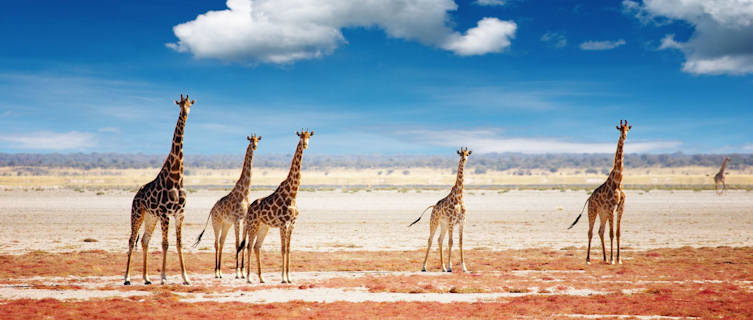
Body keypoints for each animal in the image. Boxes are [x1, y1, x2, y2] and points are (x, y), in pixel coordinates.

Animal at [123, 93, 194, 284]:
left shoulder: (179, 214)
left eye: (190, 105)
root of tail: (136, 196)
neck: (176, 178)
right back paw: (127, 278)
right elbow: (165, 244)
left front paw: (186, 278)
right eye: (179, 104)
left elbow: (179, 243)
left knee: (144, 240)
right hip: (138, 213)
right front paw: (163, 278)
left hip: (150, 217)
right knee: (132, 240)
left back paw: (147, 278)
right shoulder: (164, 214)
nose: (185, 114)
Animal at [194, 134, 262, 278]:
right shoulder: (237, 219)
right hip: (217, 222)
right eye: (250, 141)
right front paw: (237, 272)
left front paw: (242, 271)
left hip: (226, 224)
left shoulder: (245, 220)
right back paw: (216, 272)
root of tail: (212, 209)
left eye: (257, 140)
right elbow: (237, 243)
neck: (244, 193)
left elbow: (243, 243)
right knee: (216, 243)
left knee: (221, 242)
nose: (255, 146)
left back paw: (220, 271)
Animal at [239, 129, 312, 284]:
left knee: (257, 247)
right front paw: (283, 278)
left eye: (309, 137)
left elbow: (288, 249)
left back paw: (261, 278)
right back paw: (248, 278)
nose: (305, 145)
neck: (293, 194)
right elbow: (283, 249)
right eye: (301, 137)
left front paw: (289, 277)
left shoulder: (292, 224)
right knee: (249, 246)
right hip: (253, 225)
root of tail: (249, 209)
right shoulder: (283, 223)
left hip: (264, 227)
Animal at [568, 120, 632, 264]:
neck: (618, 182)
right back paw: (588, 259)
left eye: (628, 129)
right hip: (593, 210)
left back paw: (604, 258)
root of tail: (589, 198)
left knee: (600, 231)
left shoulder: (620, 208)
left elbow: (618, 233)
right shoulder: (611, 208)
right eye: (620, 129)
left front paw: (618, 259)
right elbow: (612, 233)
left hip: (603, 213)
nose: (624, 136)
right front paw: (613, 259)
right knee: (590, 232)